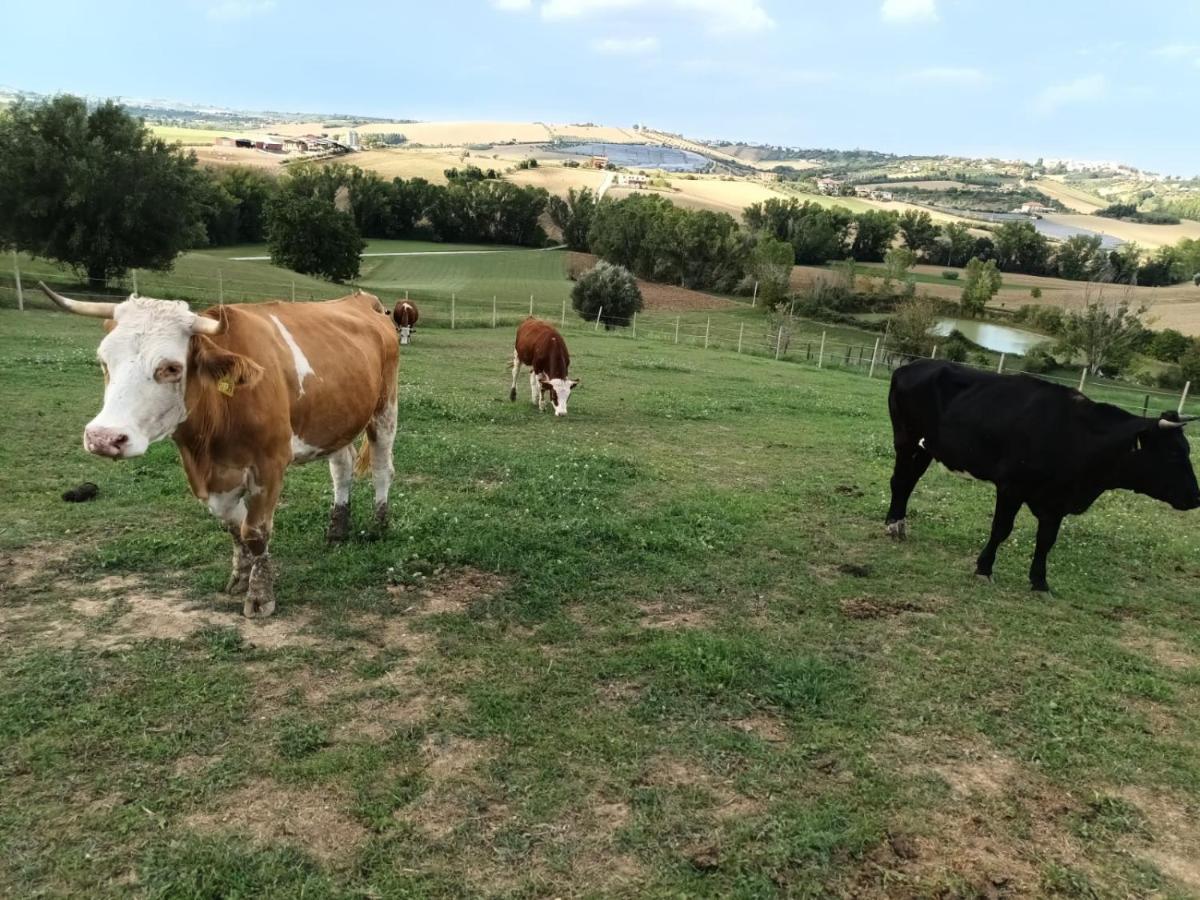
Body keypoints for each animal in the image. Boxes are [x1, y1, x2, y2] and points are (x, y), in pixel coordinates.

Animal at [39, 283, 400, 619]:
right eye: (104, 361)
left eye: (171, 368)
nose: (103, 437)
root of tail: (363, 300)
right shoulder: (214, 478)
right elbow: (233, 526)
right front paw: (240, 577)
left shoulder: (270, 465)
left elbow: (255, 531)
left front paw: (260, 596)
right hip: (336, 420)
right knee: (342, 467)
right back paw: (337, 530)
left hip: (385, 409)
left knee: (382, 466)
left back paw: (380, 525)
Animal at [883, 360, 1200, 592]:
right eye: (1173, 454)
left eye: (1187, 450)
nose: (1195, 497)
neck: (1075, 435)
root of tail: (909, 366)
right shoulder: (1011, 486)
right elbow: (1001, 529)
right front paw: (984, 569)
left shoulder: (1056, 501)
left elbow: (1046, 540)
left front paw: (1039, 582)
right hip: (906, 440)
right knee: (899, 481)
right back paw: (892, 526)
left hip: (926, 448)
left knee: (908, 482)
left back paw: (899, 523)